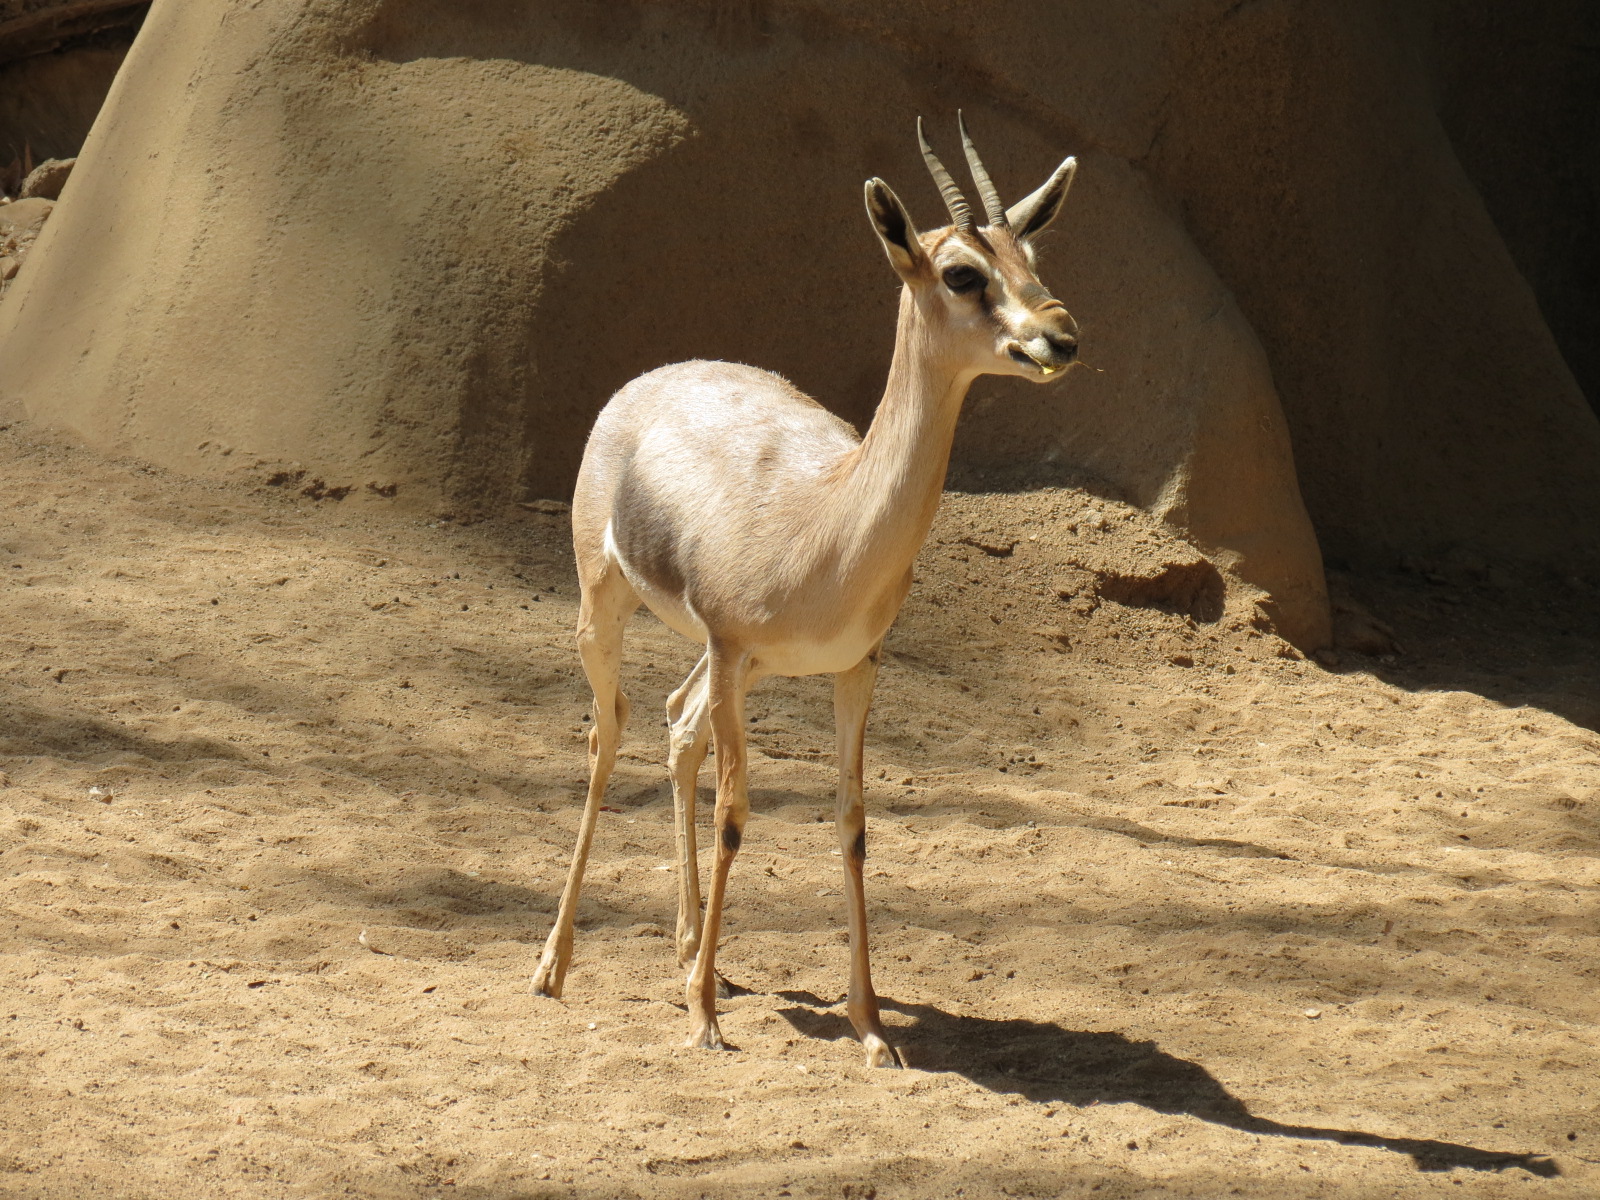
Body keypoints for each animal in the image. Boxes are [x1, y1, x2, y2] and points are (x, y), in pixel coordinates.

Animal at [531, 117, 1081, 1067]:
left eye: (1031, 257)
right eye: (961, 272)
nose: (1060, 335)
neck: (826, 517)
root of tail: (659, 375)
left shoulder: (854, 668)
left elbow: (853, 823)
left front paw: (871, 1028)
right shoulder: (731, 645)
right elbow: (735, 814)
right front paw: (704, 1021)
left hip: (733, 670)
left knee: (676, 724)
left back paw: (692, 954)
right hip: (612, 613)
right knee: (611, 735)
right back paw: (557, 968)